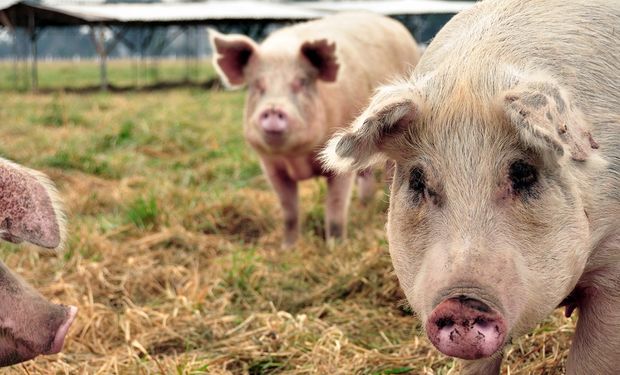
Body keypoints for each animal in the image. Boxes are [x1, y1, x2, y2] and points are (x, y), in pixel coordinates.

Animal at [209, 12, 422, 247]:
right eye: (257, 85)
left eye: (301, 82)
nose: (273, 109)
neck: (297, 158)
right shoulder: (271, 166)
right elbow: (289, 211)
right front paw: (288, 247)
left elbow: (336, 207)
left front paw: (335, 246)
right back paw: (364, 205)